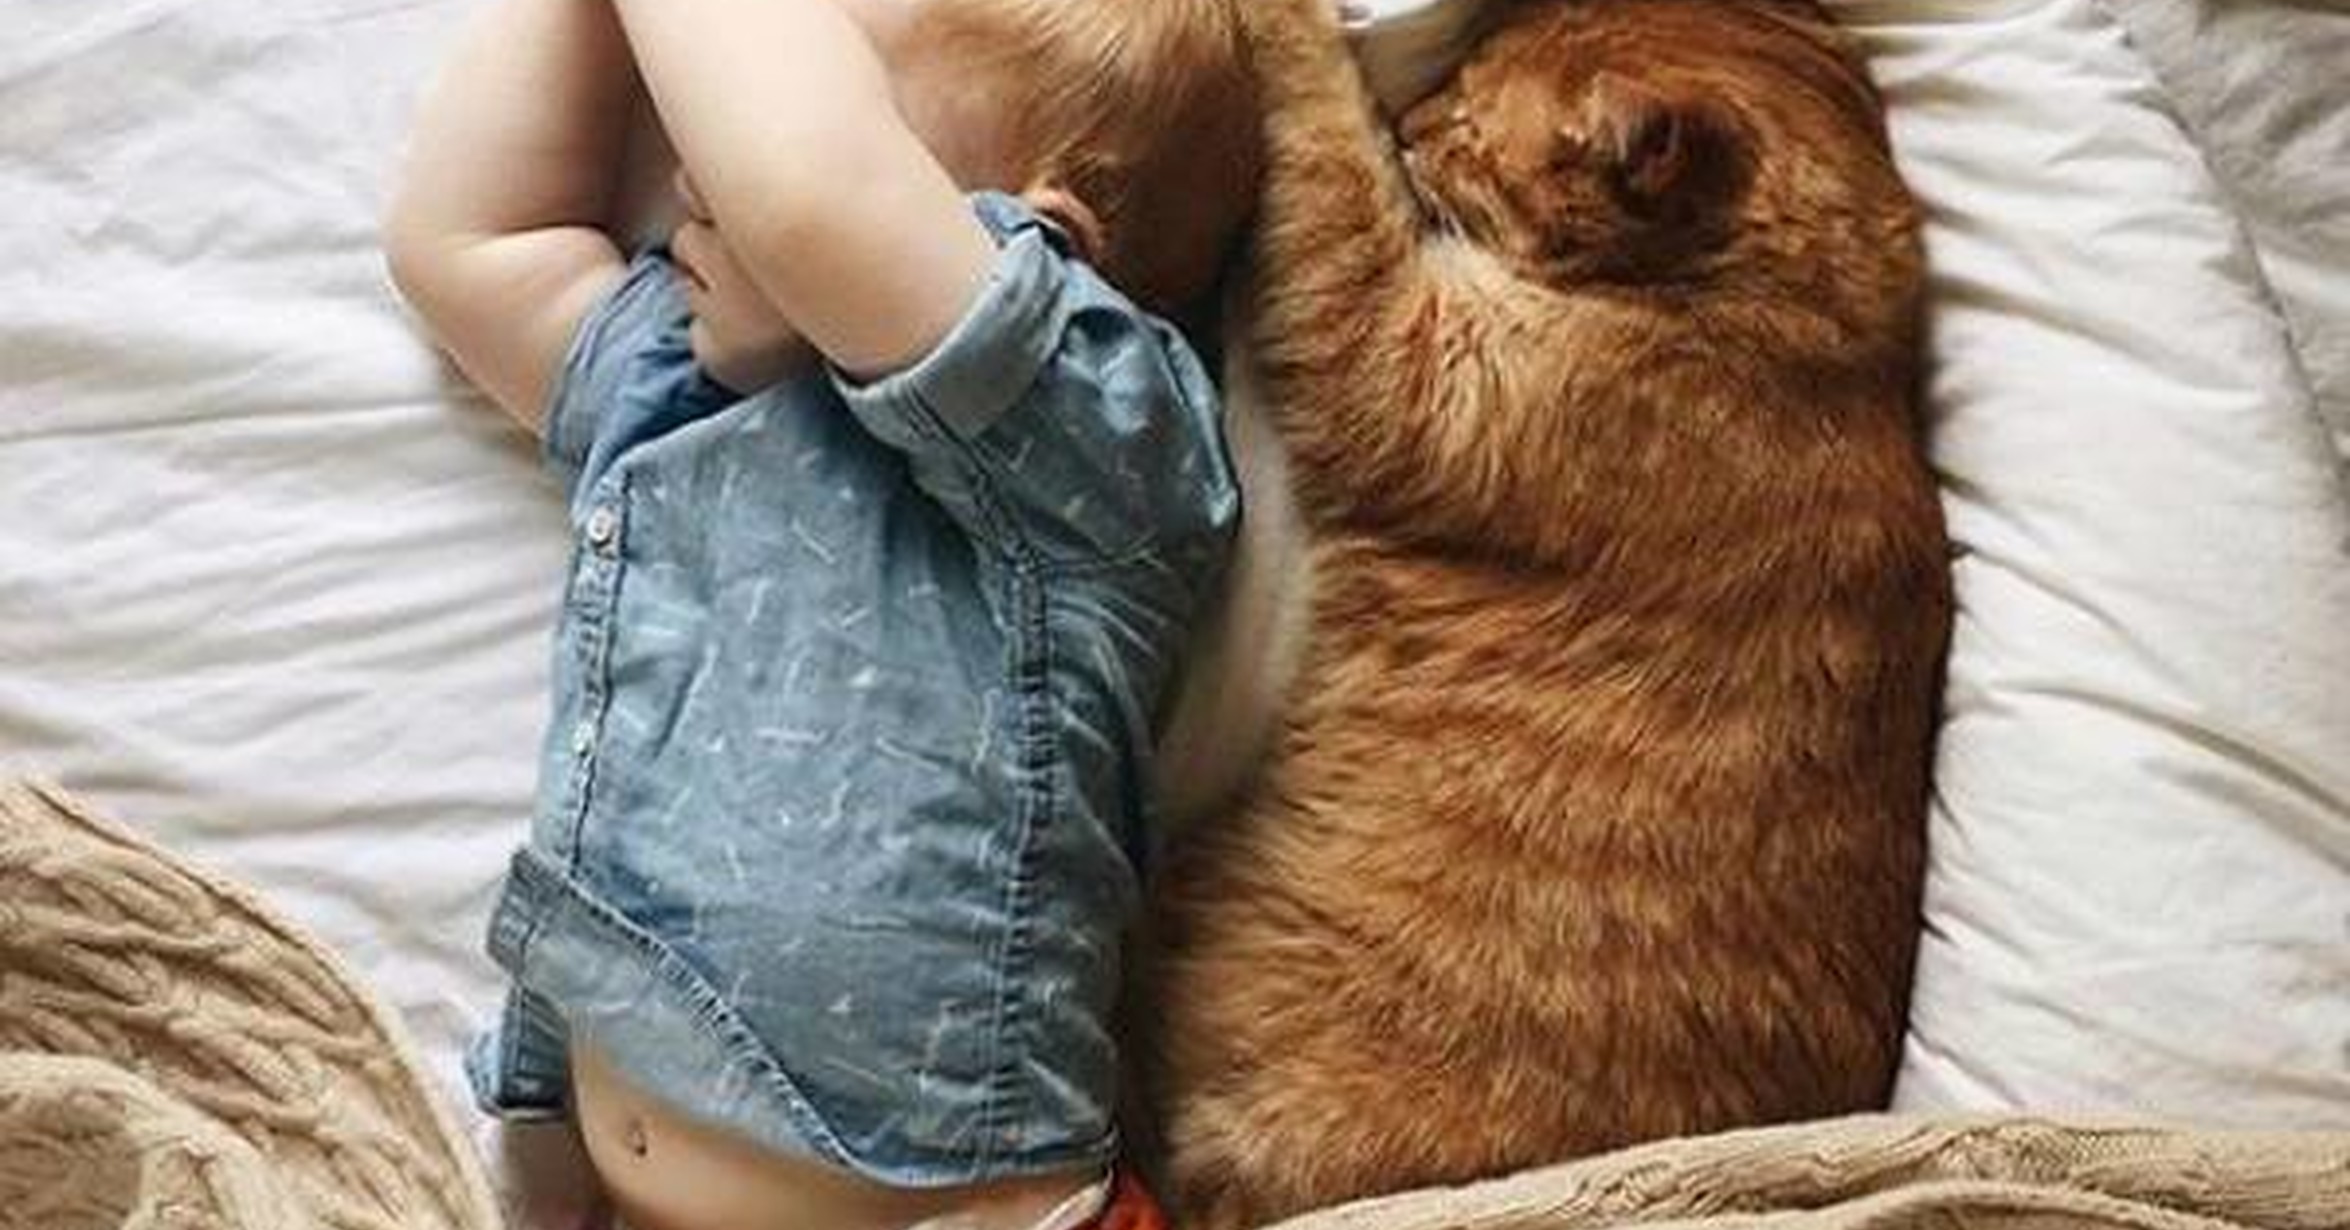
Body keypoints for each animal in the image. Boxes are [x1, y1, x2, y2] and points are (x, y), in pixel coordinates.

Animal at [1131, 1, 1952, 1226]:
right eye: (1459, 84)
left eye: (1473, 121)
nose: (1417, 122)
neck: (1798, 340)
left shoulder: (1404, 355)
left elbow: (1328, 160)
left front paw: (1302, 41)